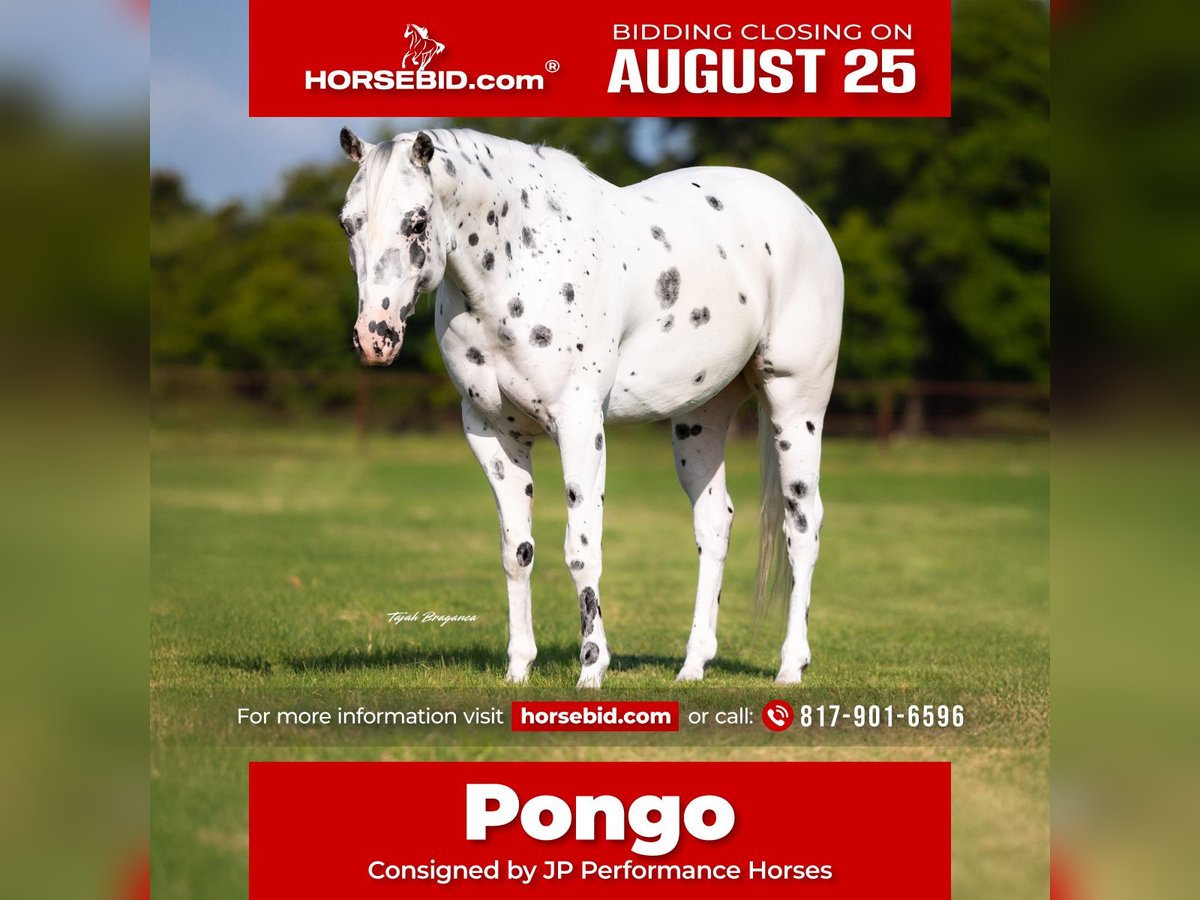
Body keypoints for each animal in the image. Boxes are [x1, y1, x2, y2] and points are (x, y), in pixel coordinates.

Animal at [337, 127, 843, 689]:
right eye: (348, 222)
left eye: (417, 221)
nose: (374, 337)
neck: (519, 263)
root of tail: (802, 213)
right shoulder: (492, 434)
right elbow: (517, 552)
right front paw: (518, 669)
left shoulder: (579, 425)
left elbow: (581, 550)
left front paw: (591, 667)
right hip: (700, 418)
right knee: (714, 524)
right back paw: (693, 666)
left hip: (796, 405)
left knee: (802, 525)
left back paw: (791, 666)